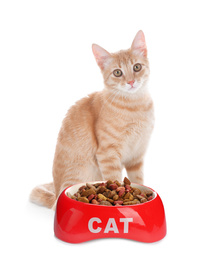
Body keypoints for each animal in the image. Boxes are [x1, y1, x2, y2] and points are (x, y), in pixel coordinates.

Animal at [30, 30, 155, 210]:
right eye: (117, 72)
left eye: (136, 67)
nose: (131, 82)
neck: (135, 106)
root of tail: (54, 196)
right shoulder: (108, 154)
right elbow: (116, 179)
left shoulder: (136, 156)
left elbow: (138, 179)